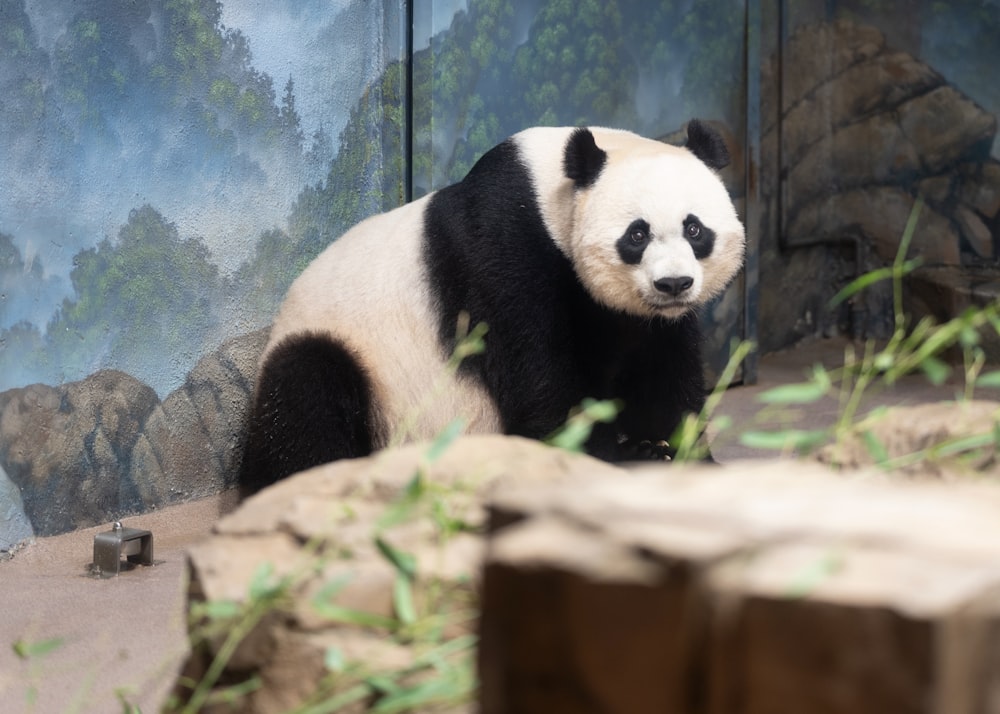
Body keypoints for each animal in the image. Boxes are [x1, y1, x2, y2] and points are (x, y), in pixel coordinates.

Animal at [238, 119, 748, 496]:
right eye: (637, 234)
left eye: (695, 229)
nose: (673, 284)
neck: (551, 191)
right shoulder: (504, 250)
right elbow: (539, 375)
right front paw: (601, 458)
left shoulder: (642, 318)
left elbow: (661, 369)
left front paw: (666, 449)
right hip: (349, 357)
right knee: (304, 394)